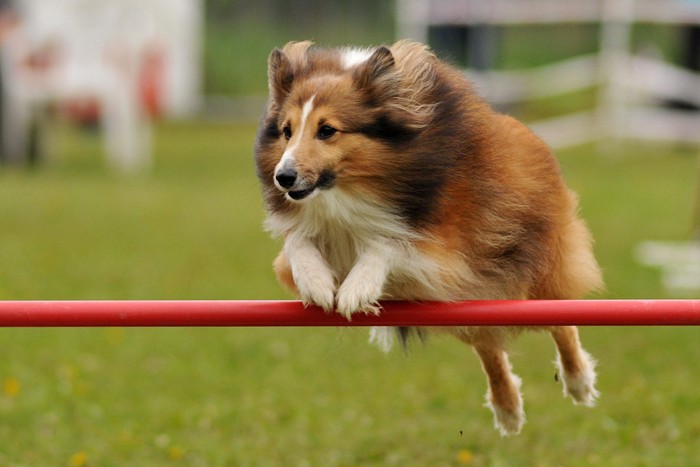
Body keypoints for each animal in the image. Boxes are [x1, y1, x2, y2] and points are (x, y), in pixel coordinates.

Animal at [254, 39, 604, 436]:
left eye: (327, 130)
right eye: (286, 130)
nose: (283, 177)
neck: (348, 192)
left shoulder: (445, 252)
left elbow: (388, 242)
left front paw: (357, 287)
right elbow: (297, 241)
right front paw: (316, 282)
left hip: (529, 276)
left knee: (562, 321)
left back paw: (578, 380)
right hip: (474, 300)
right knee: (489, 348)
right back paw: (508, 409)